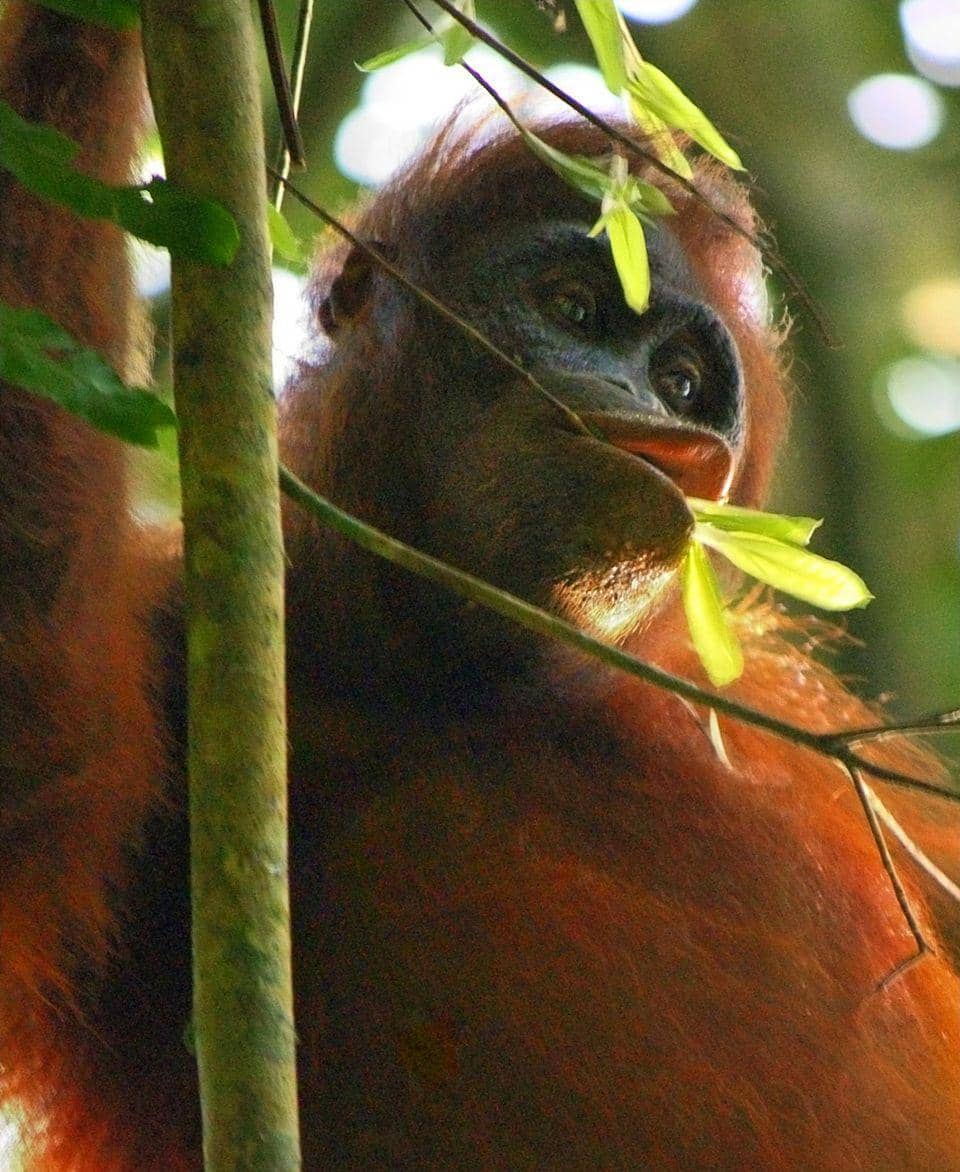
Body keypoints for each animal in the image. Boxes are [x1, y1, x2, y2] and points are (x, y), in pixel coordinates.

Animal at [2, 5, 960, 1168]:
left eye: (684, 379)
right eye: (576, 308)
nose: (653, 408)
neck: (444, 690)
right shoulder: (170, 631)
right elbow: (33, 776)